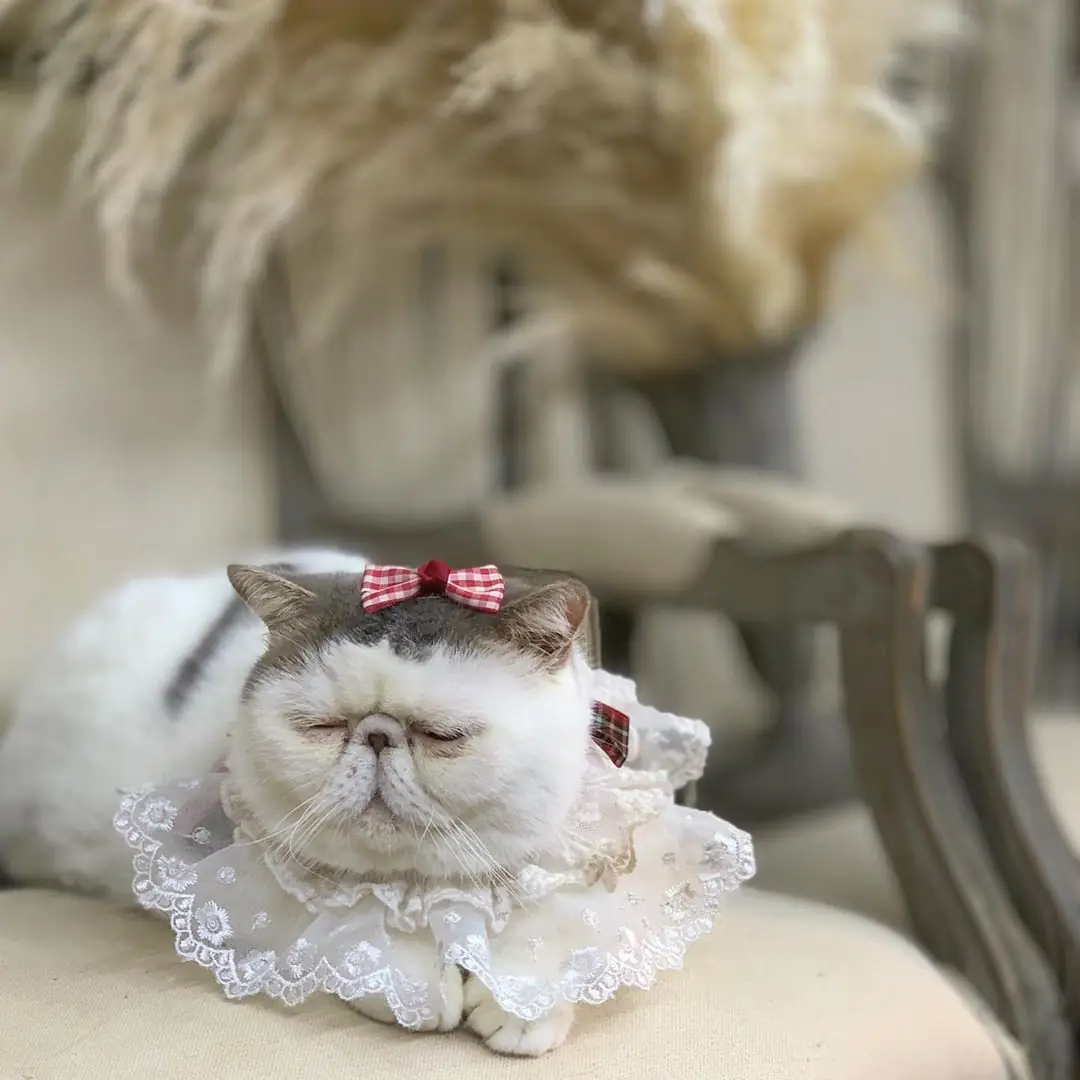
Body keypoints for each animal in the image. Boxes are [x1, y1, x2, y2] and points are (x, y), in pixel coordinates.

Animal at [0, 548, 598, 1056]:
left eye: (442, 735)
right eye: (320, 725)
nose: (377, 736)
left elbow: (555, 925)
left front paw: (524, 1003)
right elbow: (346, 929)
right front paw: (411, 982)